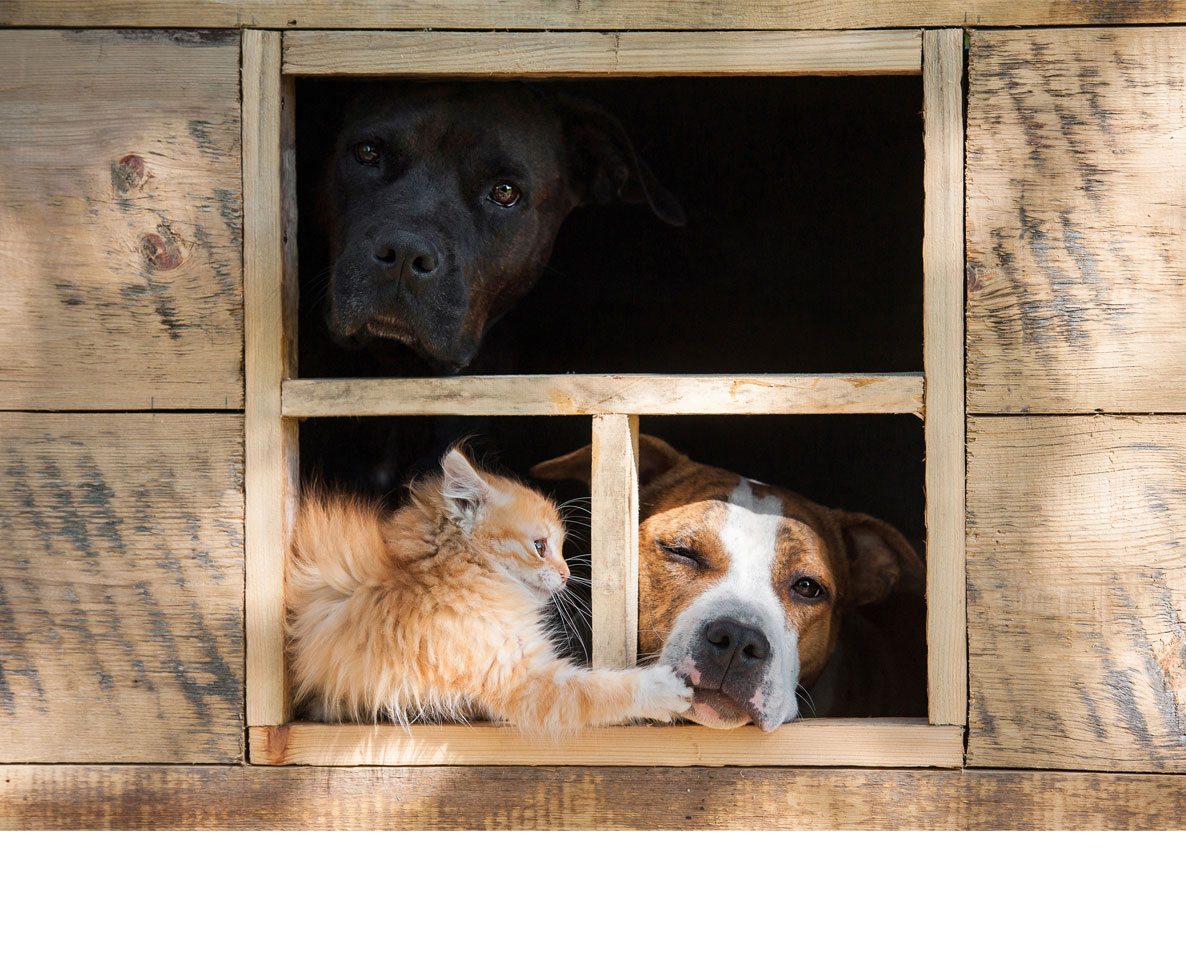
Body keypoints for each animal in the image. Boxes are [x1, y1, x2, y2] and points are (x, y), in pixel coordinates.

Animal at [285, 450, 692, 730]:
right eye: (540, 546)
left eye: (561, 548)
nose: (565, 575)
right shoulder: (517, 679)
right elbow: (598, 690)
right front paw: (662, 689)